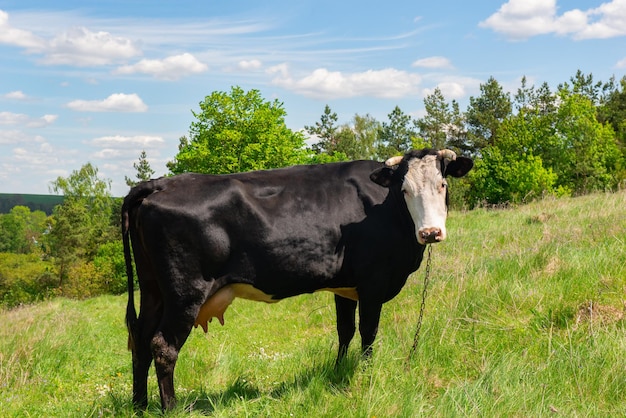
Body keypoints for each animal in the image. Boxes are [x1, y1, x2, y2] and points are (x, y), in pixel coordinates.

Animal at [122, 149, 470, 410]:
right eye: (405, 190)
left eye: (442, 184)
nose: (431, 233)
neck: (385, 210)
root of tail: (160, 184)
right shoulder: (373, 283)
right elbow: (368, 334)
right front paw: (366, 377)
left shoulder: (345, 286)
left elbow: (345, 330)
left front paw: (338, 372)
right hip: (185, 293)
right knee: (163, 346)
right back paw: (170, 408)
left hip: (153, 290)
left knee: (140, 338)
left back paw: (140, 405)